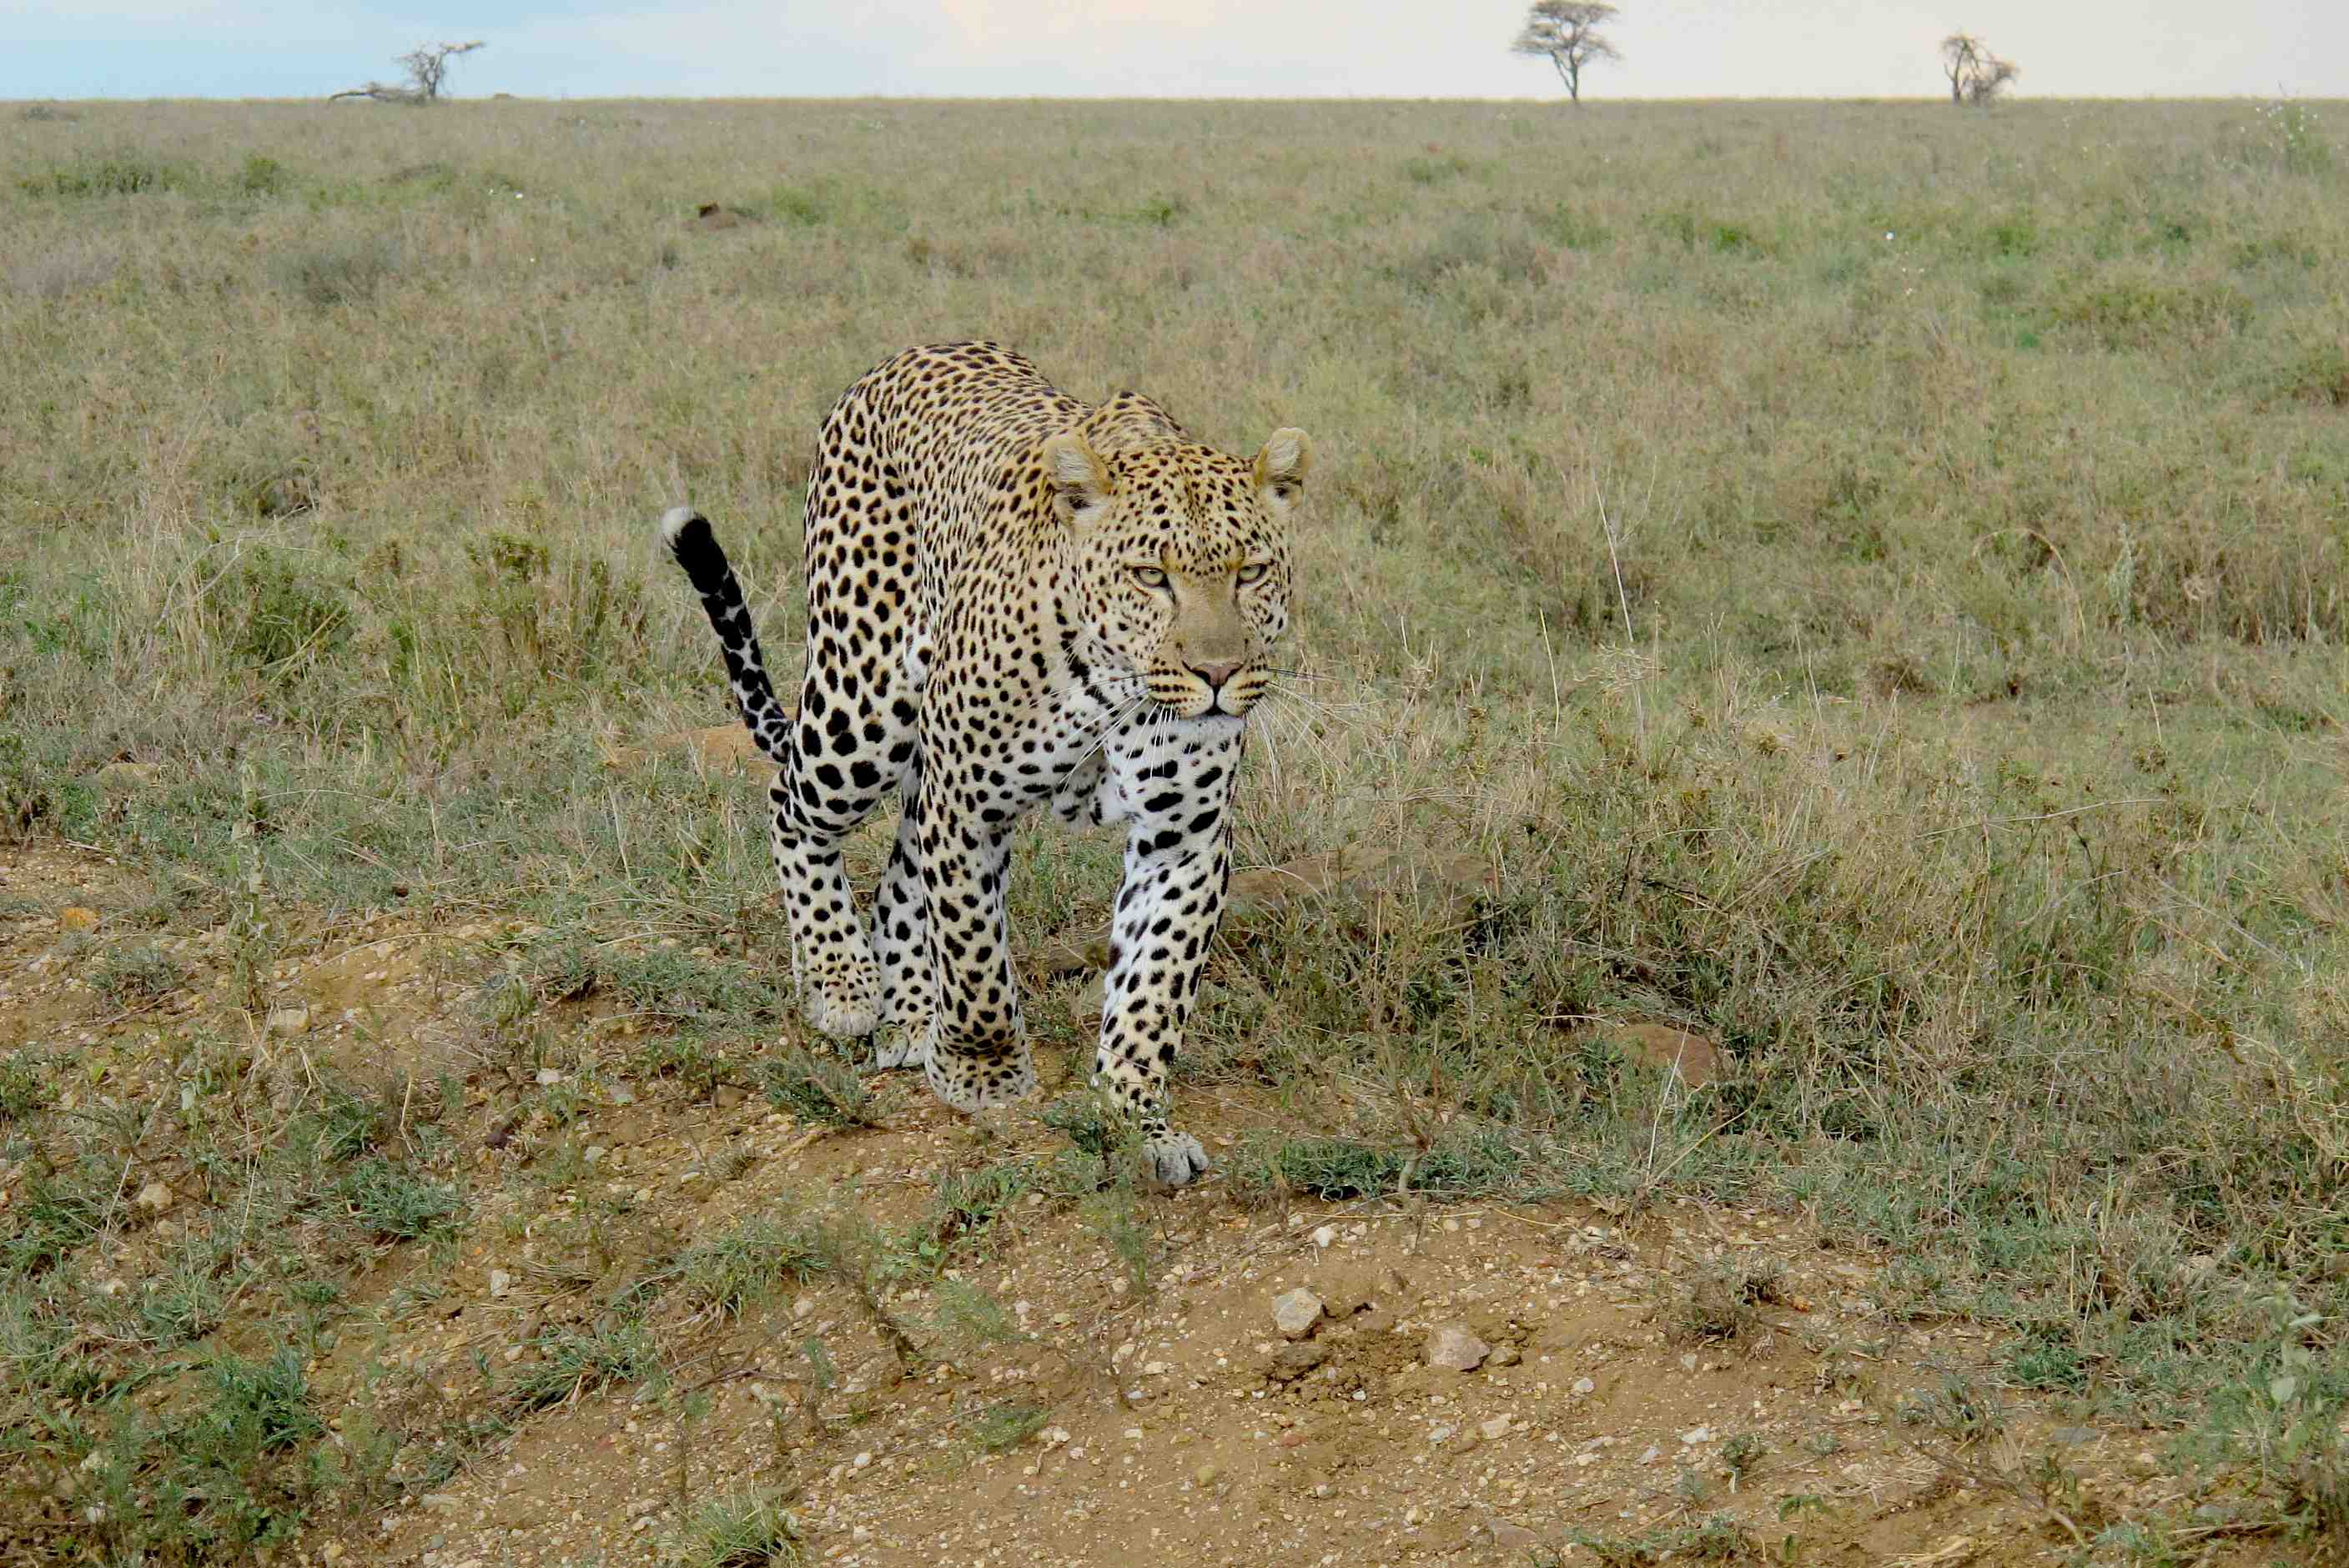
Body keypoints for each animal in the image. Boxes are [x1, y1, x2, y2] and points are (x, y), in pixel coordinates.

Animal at [660, 341, 1310, 1188]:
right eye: (1151, 576)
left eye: (1251, 571)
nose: (1219, 673)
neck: (1113, 686)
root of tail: (900, 357)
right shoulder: (968, 803)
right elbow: (974, 958)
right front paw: (983, 1071)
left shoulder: (1185, 838)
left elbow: (1152, 992)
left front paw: (1137, 1122)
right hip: (862, 710)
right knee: (790, 802)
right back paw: (843, 979)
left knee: (900, 872)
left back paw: (906, 1013)